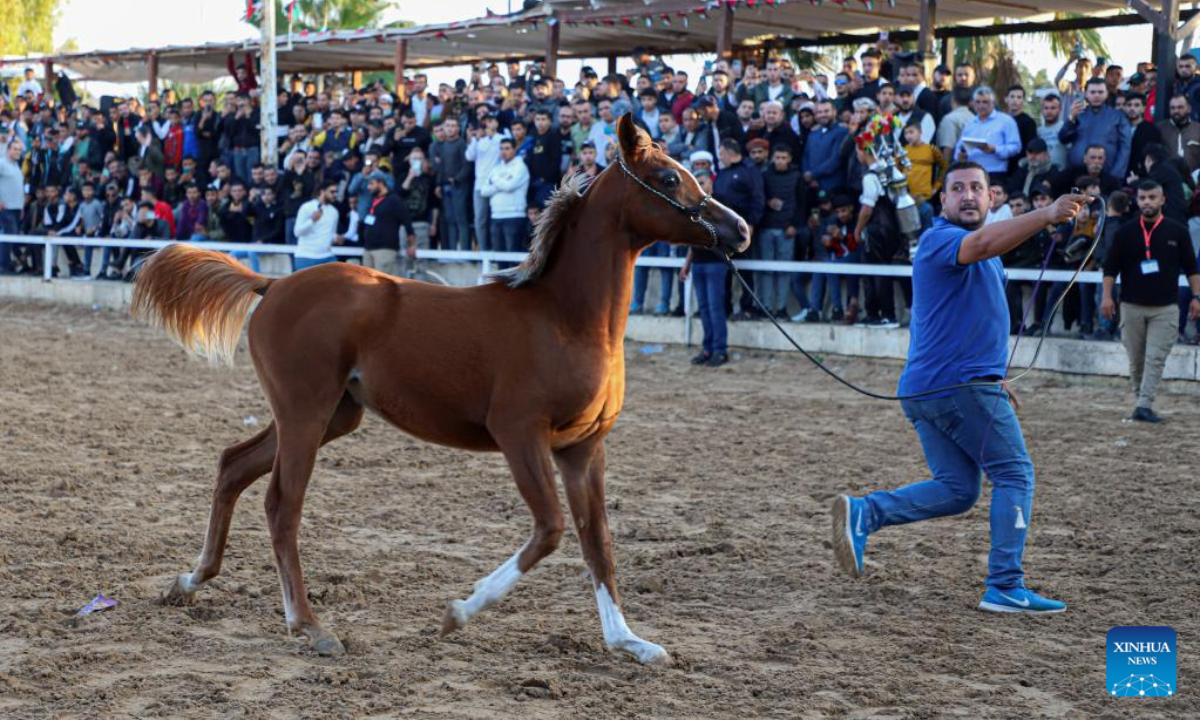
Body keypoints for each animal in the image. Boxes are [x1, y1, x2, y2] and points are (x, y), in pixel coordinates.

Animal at [133, 115, 748, 667]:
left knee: (233, 465)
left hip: (333, 415)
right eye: (668, 178)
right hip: (304, 413)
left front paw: (630, 642)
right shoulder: (520, 434)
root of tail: (274, 282)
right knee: (281, 505)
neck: (565, 319)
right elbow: (550, 531)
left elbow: (597, 542)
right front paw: (458, 613)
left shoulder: (583, 449)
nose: (739, 229)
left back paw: (190, 581)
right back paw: (311, 628)